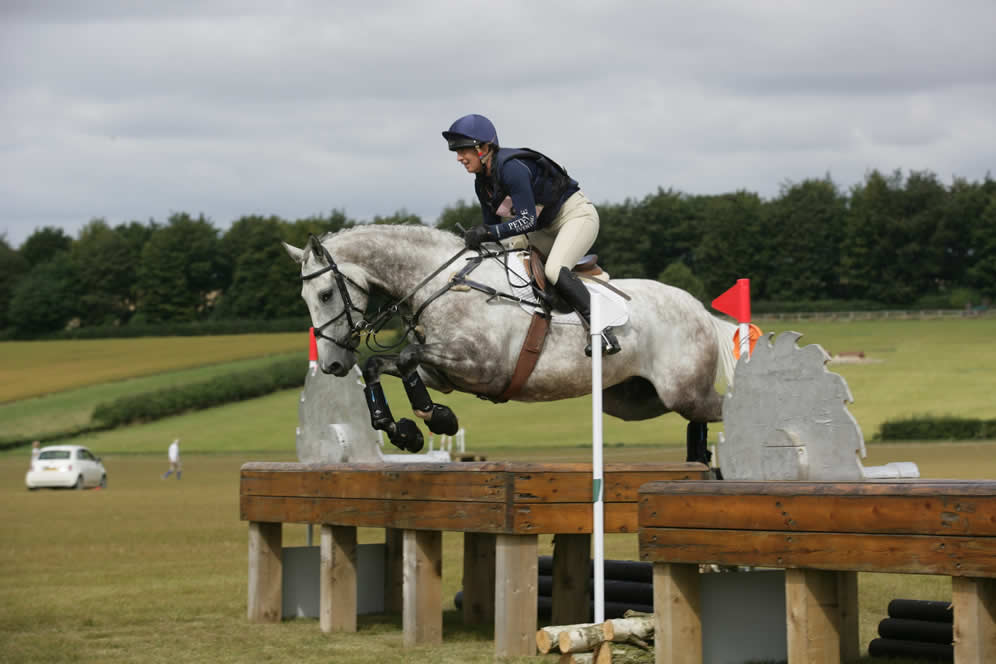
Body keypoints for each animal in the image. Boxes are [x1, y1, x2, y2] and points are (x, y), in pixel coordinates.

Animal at [284, 226, 736, 460]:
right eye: (304, 299)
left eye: (325, 294)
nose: (332, 365)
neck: (440, 282)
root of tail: (698, 308)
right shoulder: (444, 372)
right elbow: (382, 364)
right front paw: (403, 431)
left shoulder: (482, 368)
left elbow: (408, 356)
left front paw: (437, 418)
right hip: (635, 400)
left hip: (683, 392)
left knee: (721, 407)